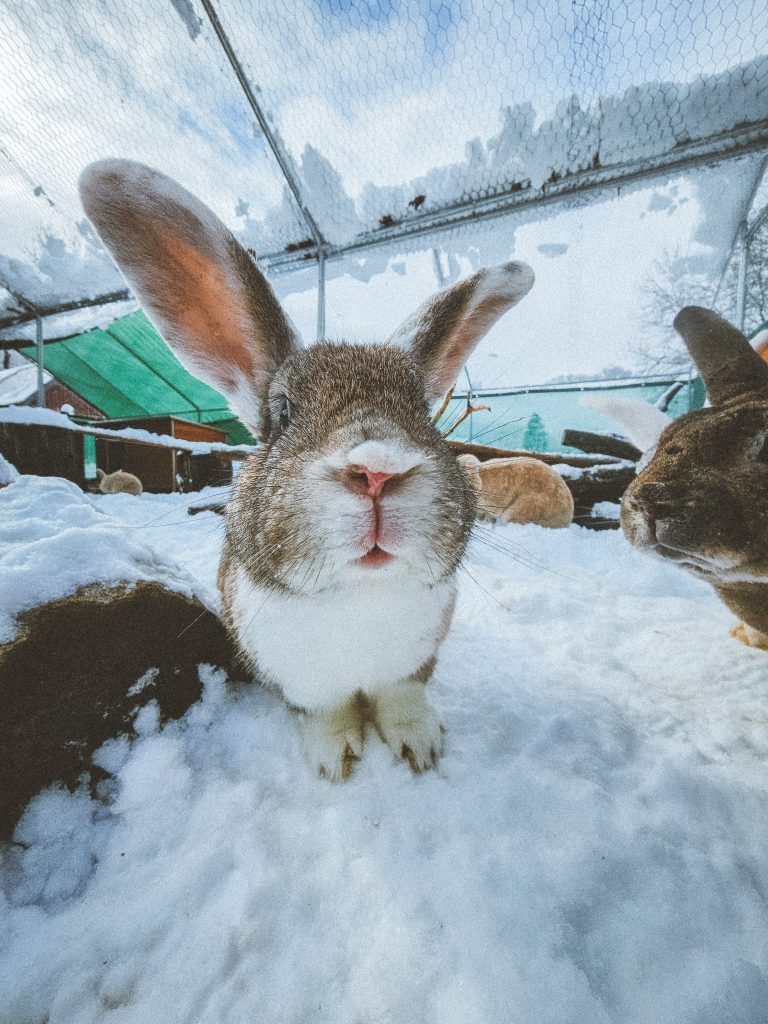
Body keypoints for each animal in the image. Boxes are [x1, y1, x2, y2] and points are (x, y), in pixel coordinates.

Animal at [79, 159, 535, 779]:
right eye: (284, 413)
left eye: (422, 411)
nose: (378, 471)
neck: (358, 596)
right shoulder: (302, 682)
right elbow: (327, 715)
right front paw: (334, 761)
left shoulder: (412, 667)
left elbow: (403, 699)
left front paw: (420, 749)